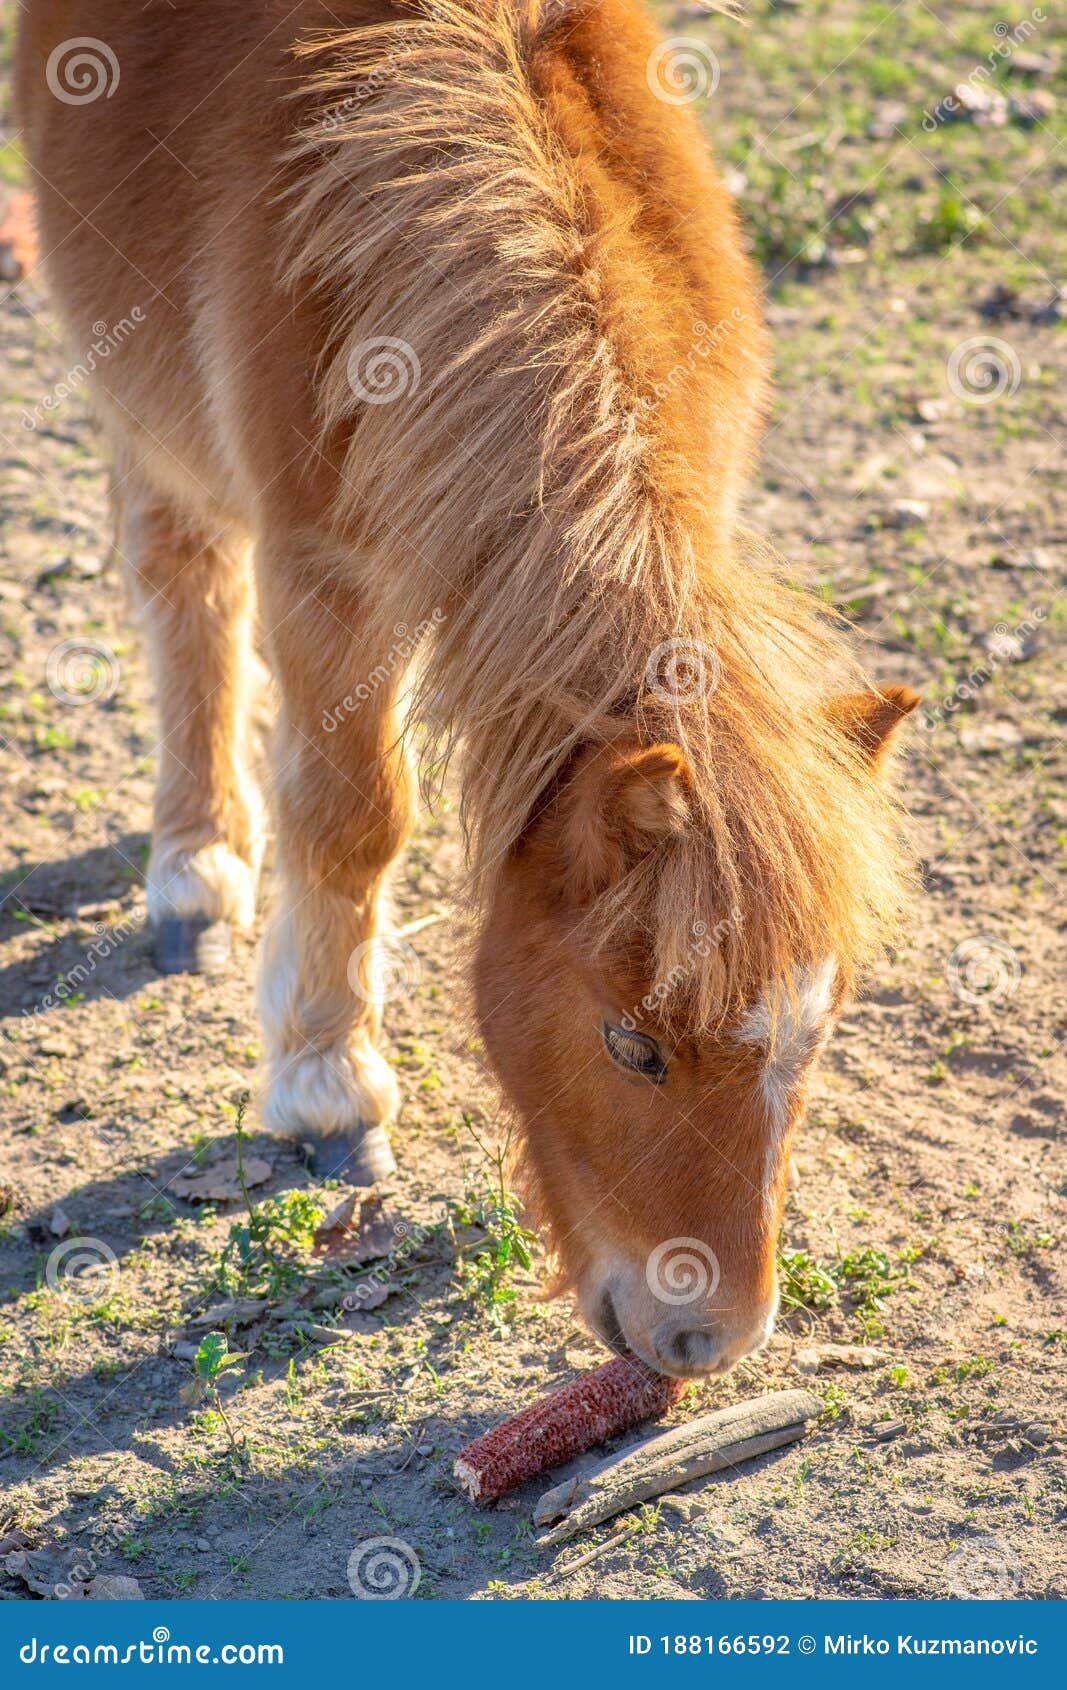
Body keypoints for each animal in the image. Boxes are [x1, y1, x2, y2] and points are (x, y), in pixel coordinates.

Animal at [16, 0, 918, 1379]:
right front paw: (326, 1082)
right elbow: (351, 817)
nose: (707, 1338)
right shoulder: (325, 578)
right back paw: (195, 865)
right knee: (181, 575)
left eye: (808, 1038)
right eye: (631, 1043)